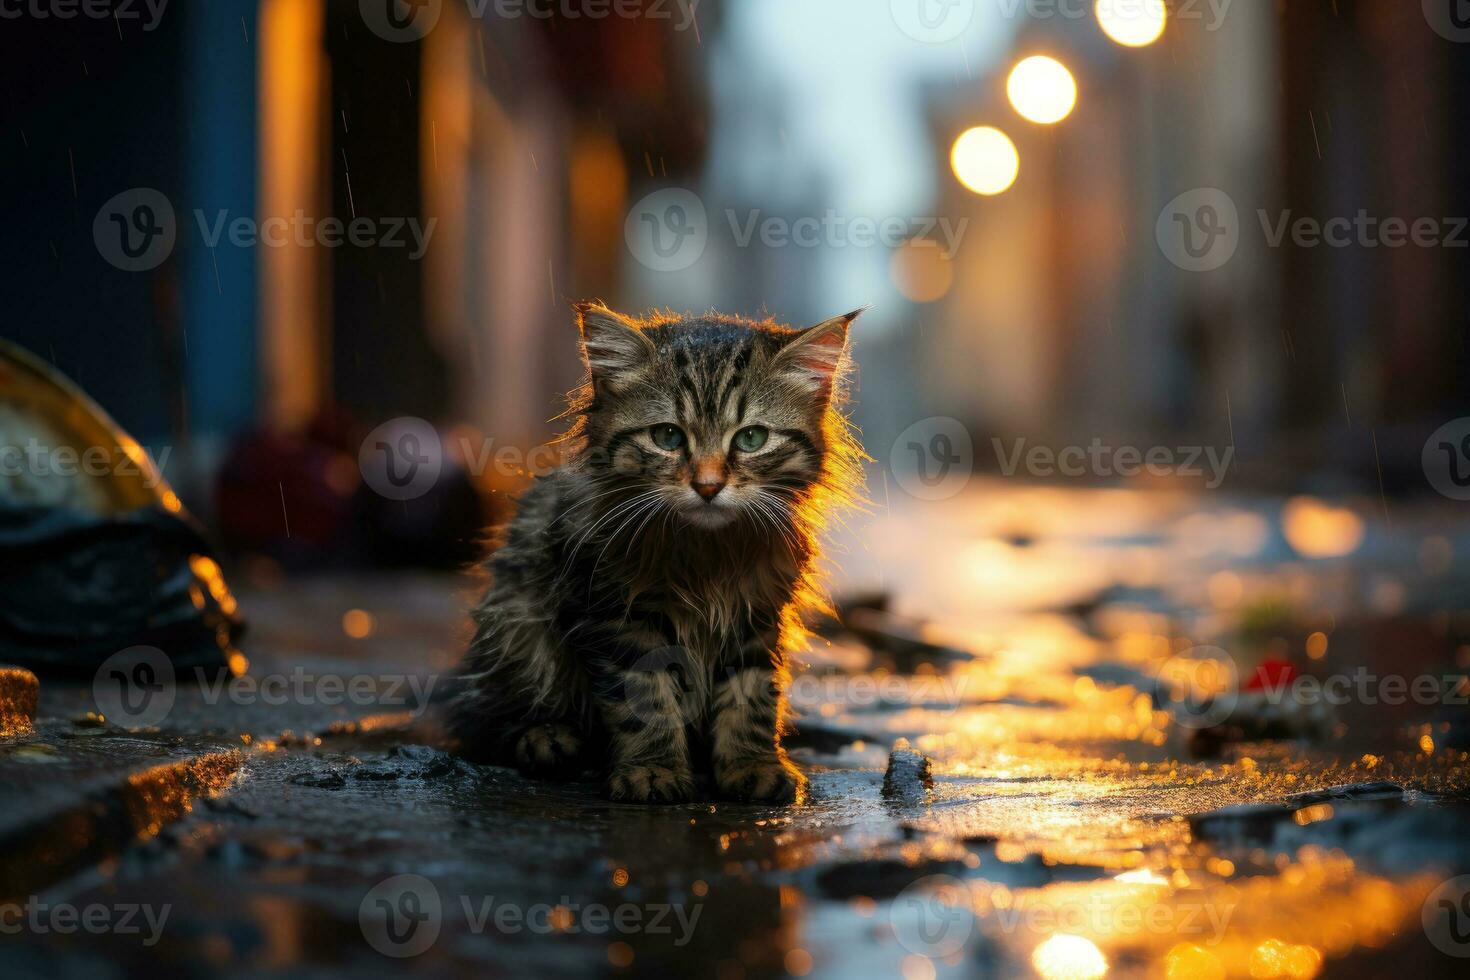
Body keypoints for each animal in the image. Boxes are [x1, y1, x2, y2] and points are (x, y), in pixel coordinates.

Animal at [446, 301, 858, 805]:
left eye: (751, 439)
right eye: (667, 437)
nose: (708, 486)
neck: (707, 555)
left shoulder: (757, 618)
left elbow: (751, 701)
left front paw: (752, 766)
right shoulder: (617, 616)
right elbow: (645, 700)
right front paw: (652, 771)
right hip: (516, 625)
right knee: (498, 718)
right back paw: (549, 740)